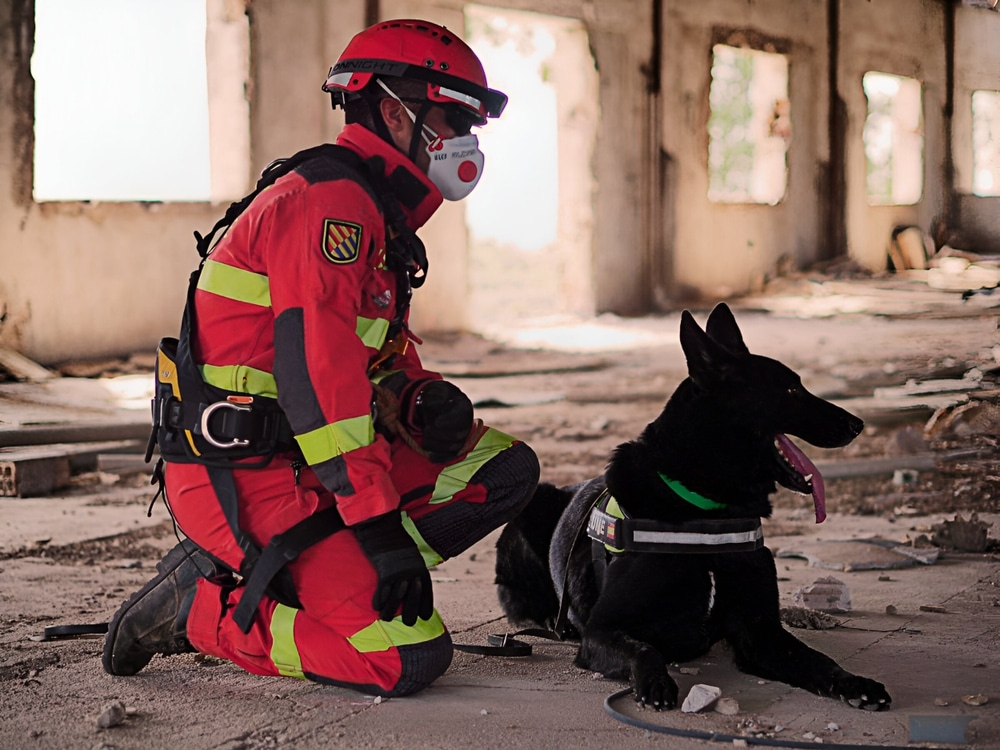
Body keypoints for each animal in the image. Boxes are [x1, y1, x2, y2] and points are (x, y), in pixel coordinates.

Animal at [496, 304, 896, 712]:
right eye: (791, 389)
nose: (858, 424)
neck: (707, 511)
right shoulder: (602, 629)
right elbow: (645, 650)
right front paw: (655, 683)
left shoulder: (761, 632)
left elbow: (817, 660)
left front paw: (853, 683)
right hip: (531, 504)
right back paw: (549, 619)